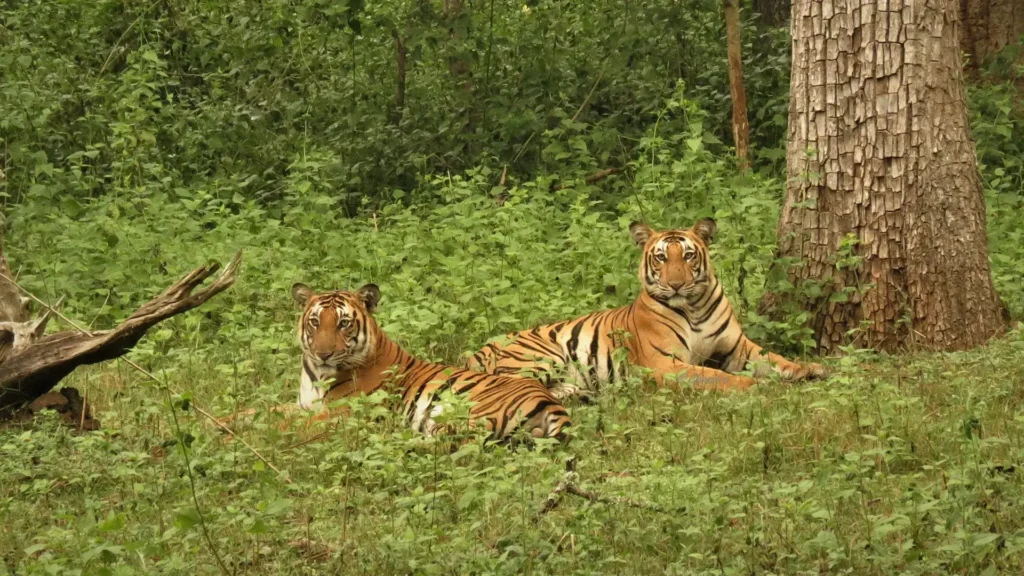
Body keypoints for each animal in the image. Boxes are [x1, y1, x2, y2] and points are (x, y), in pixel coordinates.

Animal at [291, 282, 572, 441]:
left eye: (344, 323)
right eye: (315, 322)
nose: (323, 354)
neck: (317, 373)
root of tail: (549, 400)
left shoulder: (341, 414)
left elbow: (292, 426)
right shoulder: (303, 405)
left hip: (466, 415)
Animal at [467, 218, 825, 399]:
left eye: (689, 256)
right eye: (661, 257)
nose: (677, 284)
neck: (693, 307)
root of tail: (480, 349)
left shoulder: (738, 349)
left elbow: (776, 359)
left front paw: (811, 369)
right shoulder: (664, 363)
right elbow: (716, 376)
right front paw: (757, 386)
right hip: (541, 356)